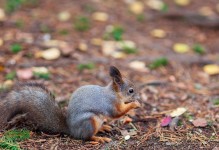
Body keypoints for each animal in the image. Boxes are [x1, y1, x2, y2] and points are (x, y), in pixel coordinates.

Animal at [0, 66, 140, 143]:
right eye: (131, 90)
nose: (138, 96)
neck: (114, 93)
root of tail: (71, 130)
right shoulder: (109, 103)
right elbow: (117, 113)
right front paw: (135, 104)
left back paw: (103, 128)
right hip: (89, 121)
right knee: (86, 137)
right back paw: (99, 138)